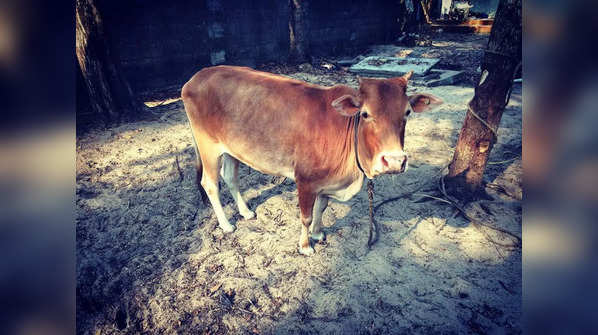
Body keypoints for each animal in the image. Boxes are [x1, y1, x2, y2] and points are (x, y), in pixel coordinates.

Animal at [180, 65, 442, 255]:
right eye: (366, 114)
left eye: (407, 112)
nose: (395, 161)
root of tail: (195, 78)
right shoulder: (305, 180)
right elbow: (305, 216)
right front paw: (306, 246)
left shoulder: (325, 181)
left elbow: (321, 207)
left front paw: (318, 233)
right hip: (207, 145)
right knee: (210, 184)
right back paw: (226, 225)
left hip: (232, 149)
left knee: (230, 178)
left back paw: (245, 212)